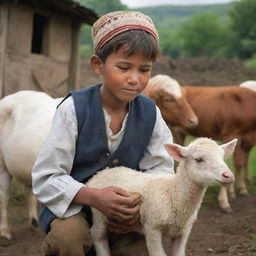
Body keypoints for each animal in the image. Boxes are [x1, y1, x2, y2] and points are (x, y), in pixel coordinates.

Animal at [87, 138, 237, 256]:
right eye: (198, 159)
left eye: (222, 157)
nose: (228, 175)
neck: (173, 194)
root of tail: (104, 172)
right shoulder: (152, 227)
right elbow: (158, 253)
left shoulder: (184, 230)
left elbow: (179, 254)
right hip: (99, 212)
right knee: (97, 235)